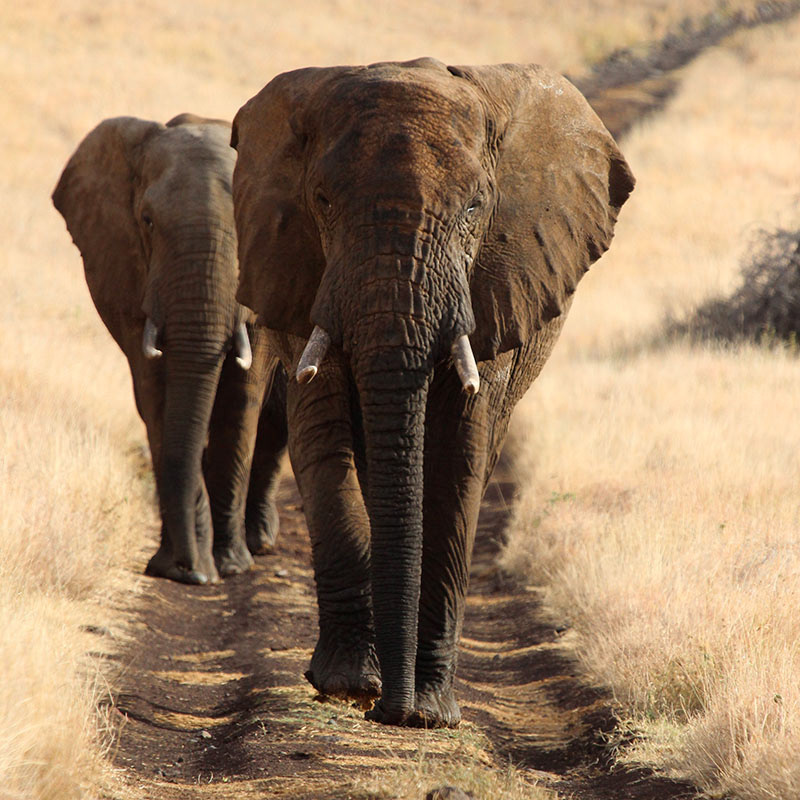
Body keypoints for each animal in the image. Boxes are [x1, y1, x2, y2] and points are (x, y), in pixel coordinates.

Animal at [53, 113, 288, 586]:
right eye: (147, 221)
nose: (190, 571)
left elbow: (243, 398)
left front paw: (229, 566)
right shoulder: (129, 270)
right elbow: (157, 396)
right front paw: (179, 568)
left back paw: (259, 544)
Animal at [230, 58, 634, 726]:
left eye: (475, 207)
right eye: (322, 201)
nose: (387, 712)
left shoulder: (498, 284)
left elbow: (458, 451)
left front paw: (428, 713)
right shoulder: (298, 267)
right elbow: (323, 433)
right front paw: (348, 687)